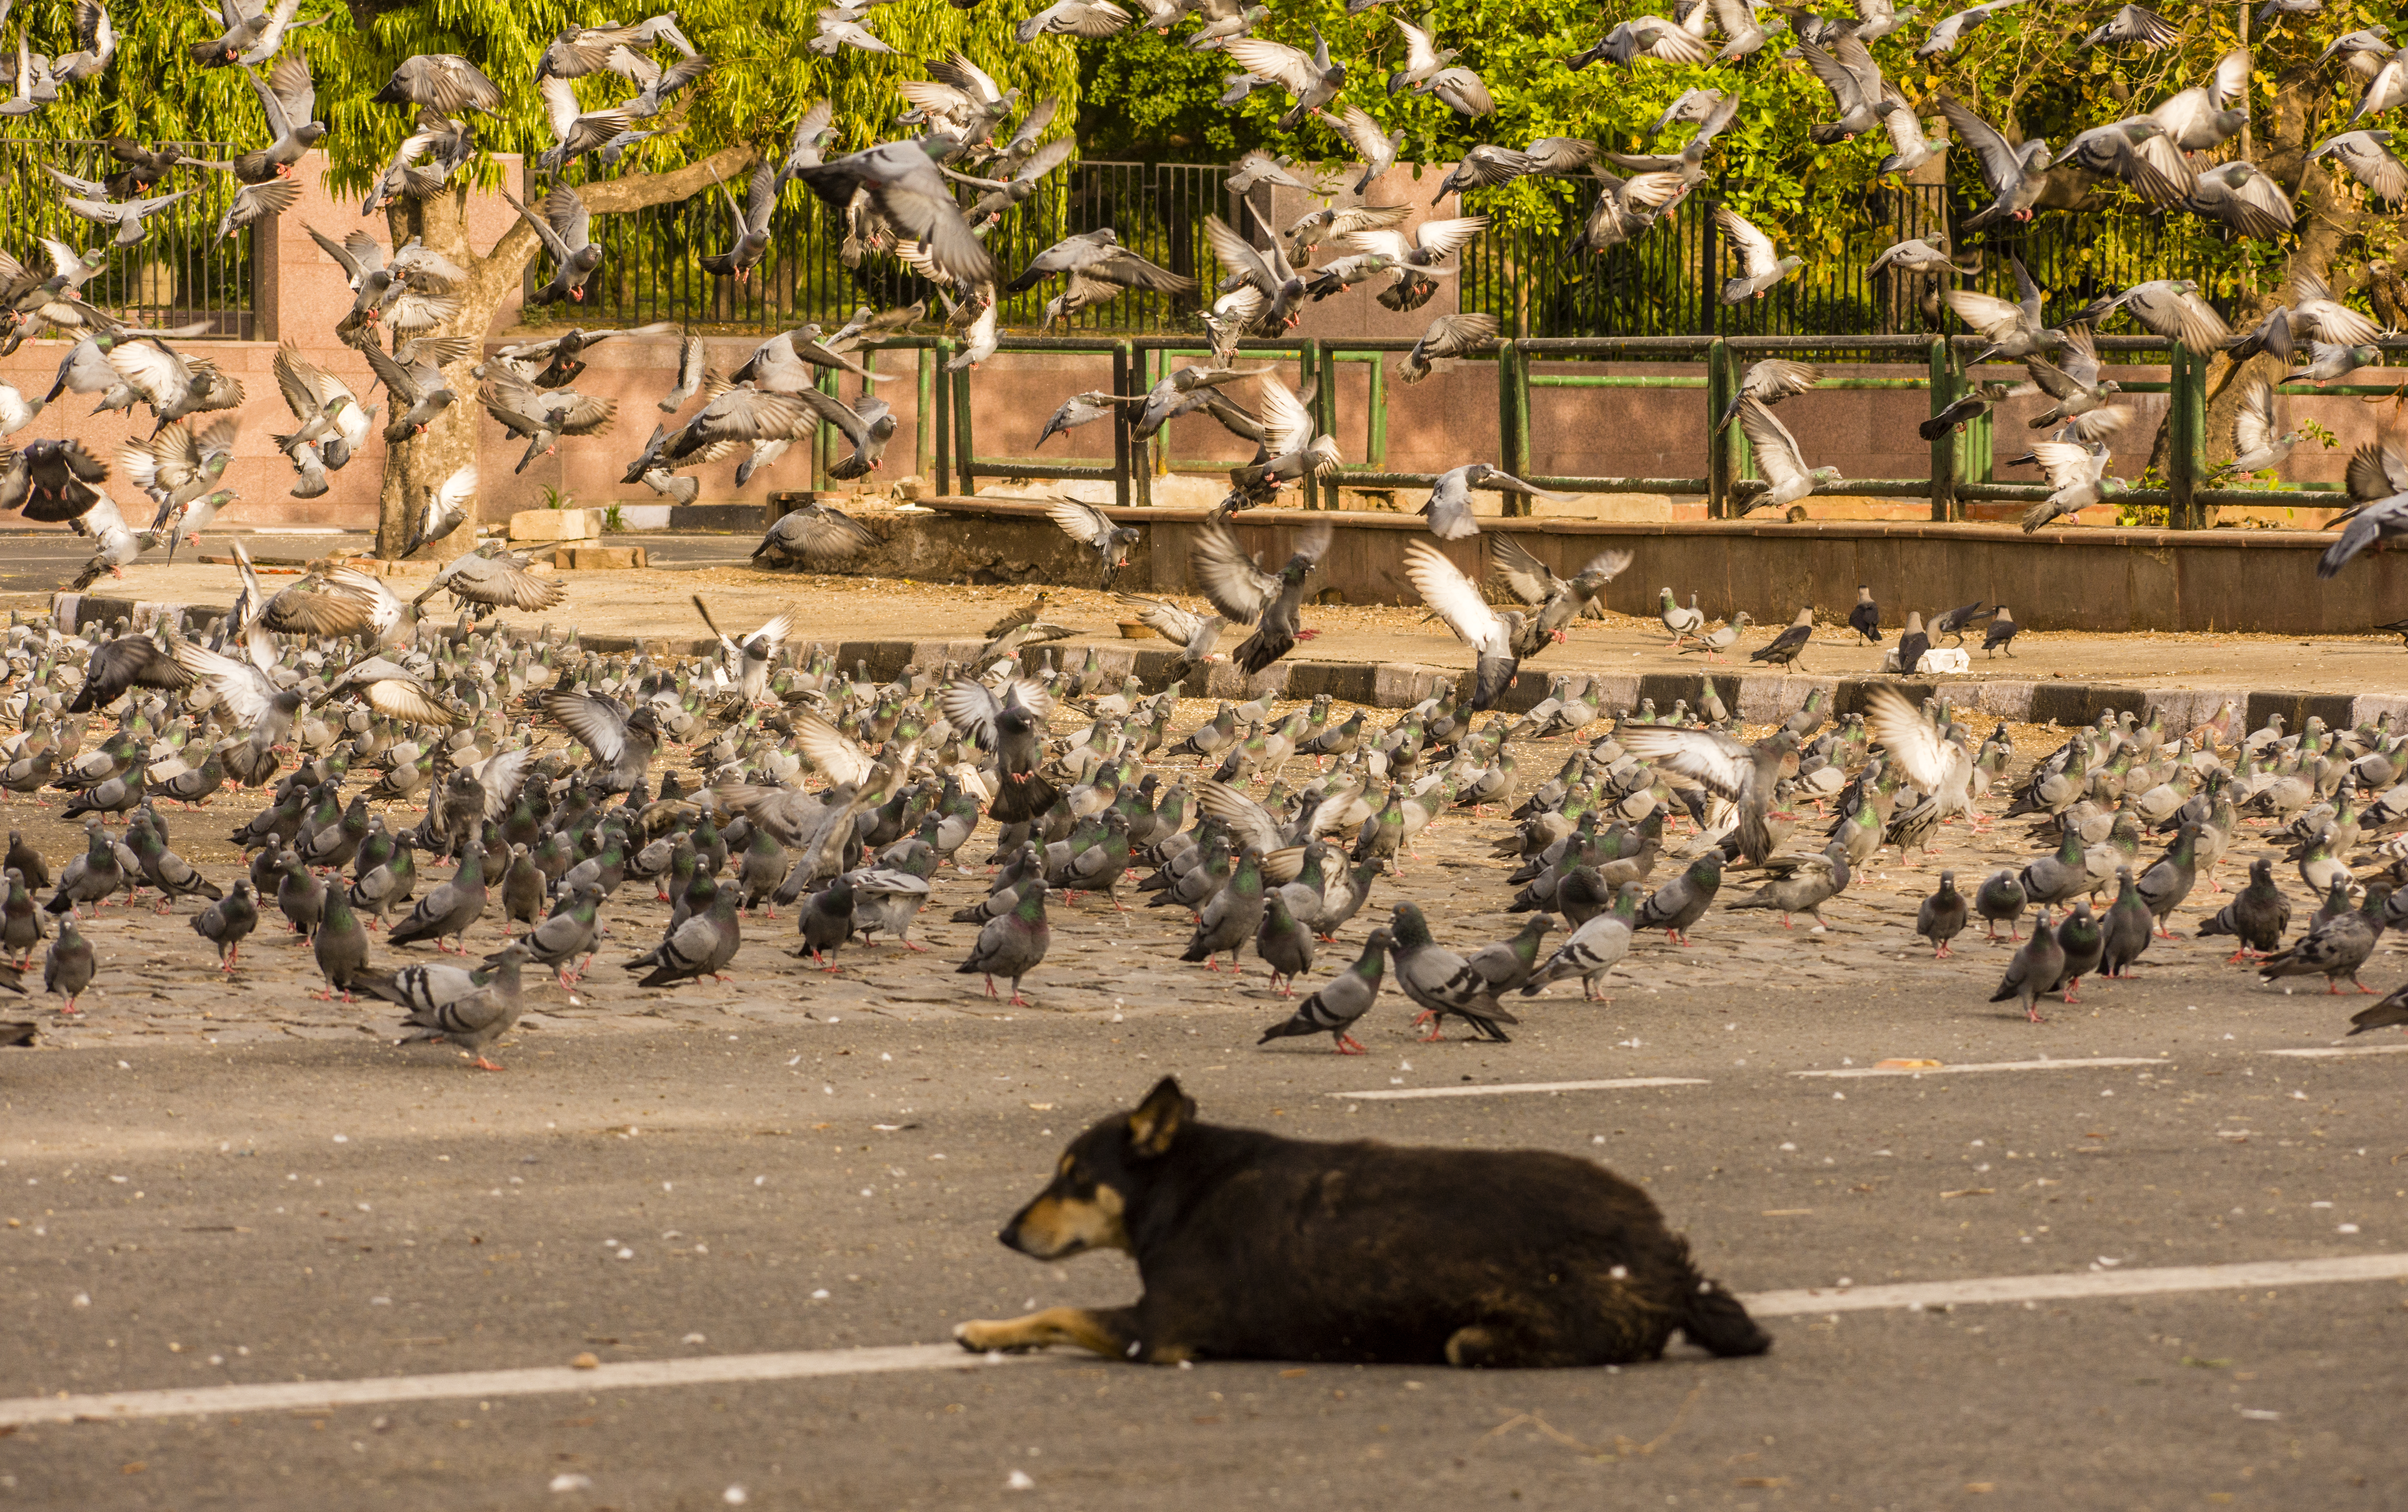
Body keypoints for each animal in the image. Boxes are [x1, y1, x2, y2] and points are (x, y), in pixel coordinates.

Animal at [958, 1074, 1772, 1368]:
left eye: (1075, 1178)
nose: (1002, 1234)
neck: (1185, 1183)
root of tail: (1668, 1260)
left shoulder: (1157, 1332)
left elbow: (1061, 1310)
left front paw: (985, 1330)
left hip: (1476, 1338)